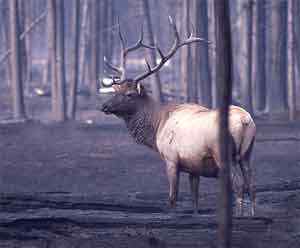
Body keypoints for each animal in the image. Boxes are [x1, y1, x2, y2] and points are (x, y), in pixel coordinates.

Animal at [98, 17, 255, 215]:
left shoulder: (171, 159)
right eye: (115, 90)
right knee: (251, 186)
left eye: (130, 94)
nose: (104, 106)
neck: (157, 126)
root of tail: (245, 121)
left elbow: (173, 197)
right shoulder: (194, 166)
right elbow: (195, 199)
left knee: (239, 186)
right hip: (247, 154)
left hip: (224, 155)